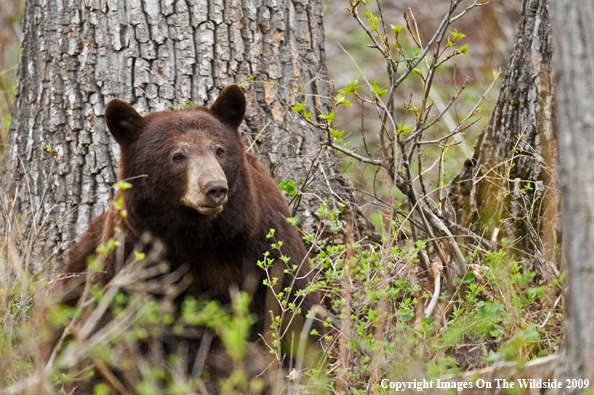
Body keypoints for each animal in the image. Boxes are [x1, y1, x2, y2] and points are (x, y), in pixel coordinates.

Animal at [44, 85, 322, 392]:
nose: (215, 188)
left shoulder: (265, 246)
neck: (197, 237)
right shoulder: (133, 258)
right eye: (178, 155)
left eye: (219, 150)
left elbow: (298, 312)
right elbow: (117, 331)